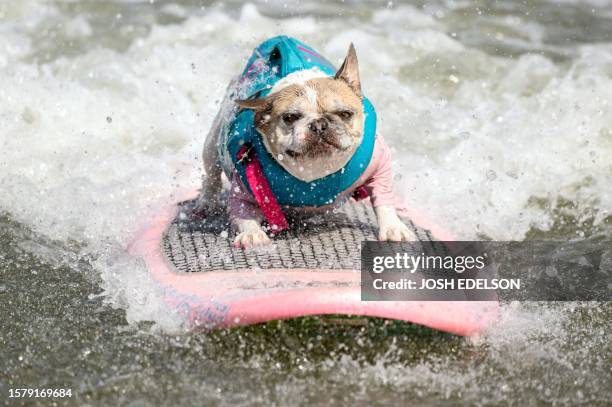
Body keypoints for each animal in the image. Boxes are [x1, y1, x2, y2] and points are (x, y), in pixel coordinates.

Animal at [197, 38, 416, 249]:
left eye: (345, 114)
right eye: (290, 117)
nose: (319, 124)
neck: (317, 171)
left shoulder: (379, 163)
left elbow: (383, 197)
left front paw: (393, 227)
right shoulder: (245, 184)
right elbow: (243, 212)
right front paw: (252, 233)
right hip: (212, 145)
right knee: (212, 176)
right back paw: (206, 202)